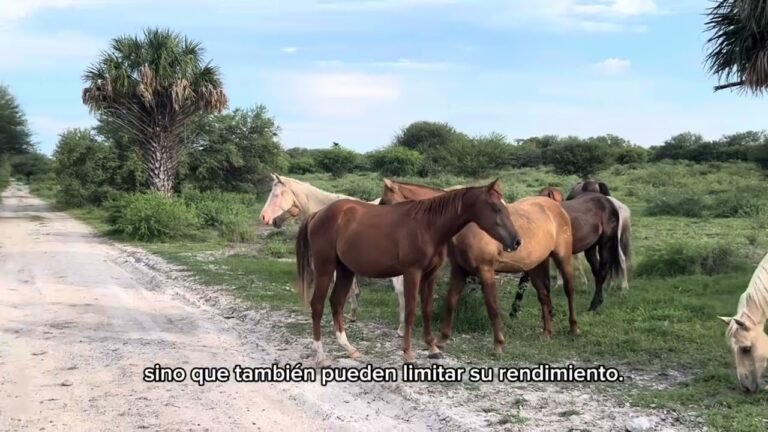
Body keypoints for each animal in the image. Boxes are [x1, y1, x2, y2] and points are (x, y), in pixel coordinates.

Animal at [295, 180, 521, 365]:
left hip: (345, 270)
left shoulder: (430, 275)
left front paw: (432, 347)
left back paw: (350, 349)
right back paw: (320, 355)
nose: (516, 241)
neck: (427, 226)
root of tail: (317, 215)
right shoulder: (412, 273)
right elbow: (411, 311)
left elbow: (427, 309)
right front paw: (408, 353)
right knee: (317, 306)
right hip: (325, 268)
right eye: (495, 208)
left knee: (336, 303)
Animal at [379, 179, 578, 354]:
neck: (468, 225)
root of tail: (555, 206)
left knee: (569, 289)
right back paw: (546, 333)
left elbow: (492, 307)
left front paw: (498, 345)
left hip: (562, 258)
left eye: (386, 203)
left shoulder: (486, 270)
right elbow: (451, 301)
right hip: (534, 266)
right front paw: (442, 339)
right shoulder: (459, 270)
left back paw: (574, 329)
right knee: (543, 296)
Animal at [510, 187, 630, 317]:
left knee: (604, 270)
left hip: (606, 243)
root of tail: (610, 203)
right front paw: (514, 311)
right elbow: (525, 282)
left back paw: (594, 304)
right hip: (591, 248)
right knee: (597, 272)